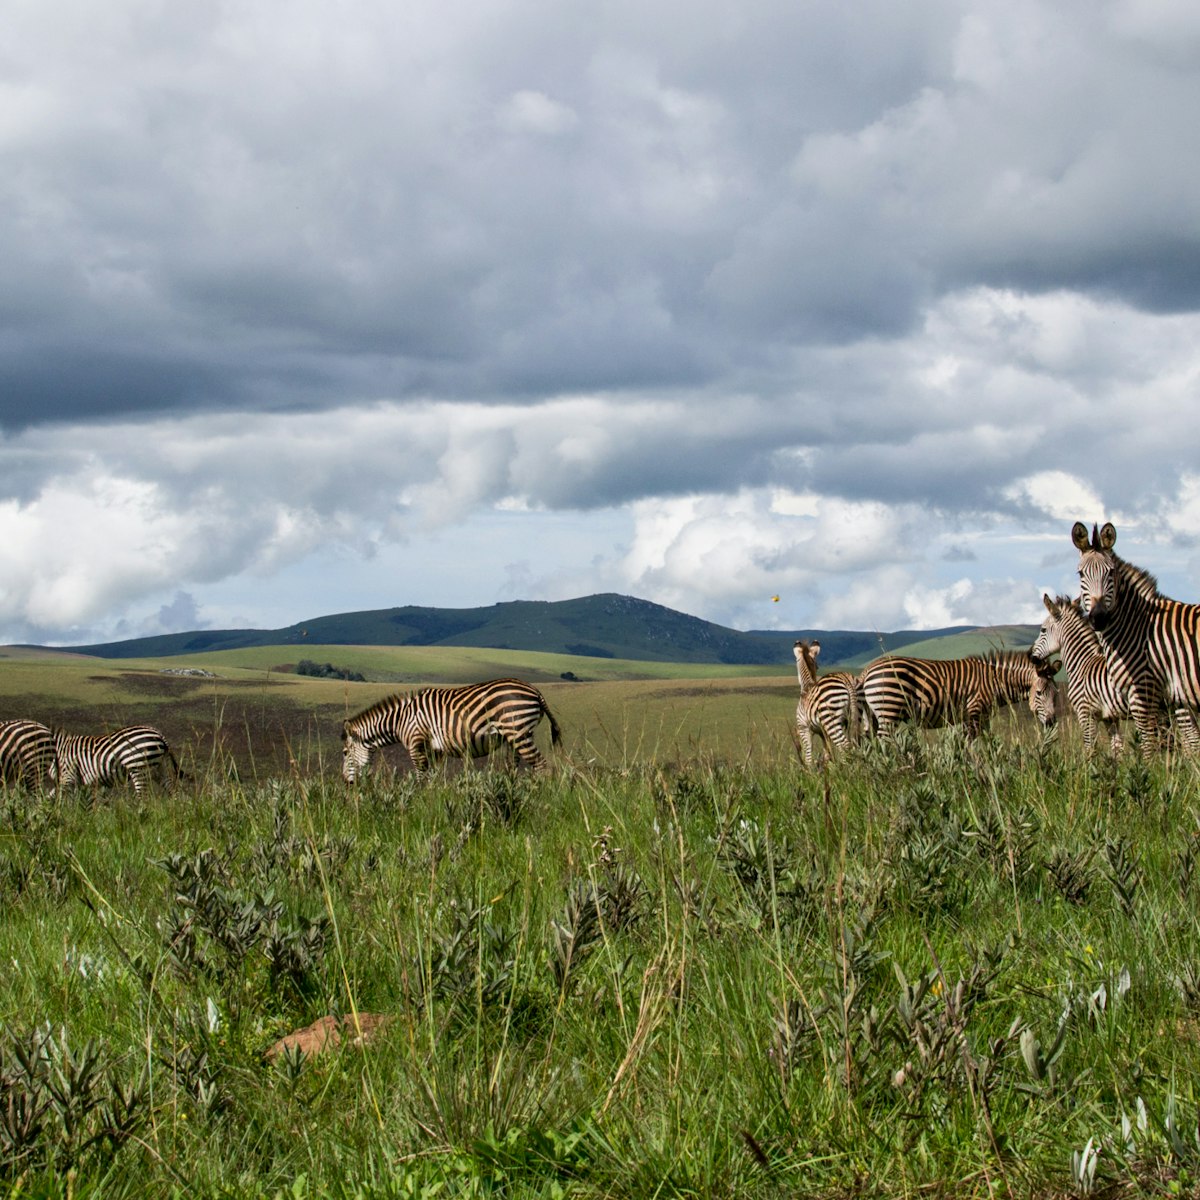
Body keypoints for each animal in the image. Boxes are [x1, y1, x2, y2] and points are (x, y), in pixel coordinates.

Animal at [52, 725, 180, 794]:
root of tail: (159, 734)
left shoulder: (68, 777)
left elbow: (58, 800)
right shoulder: (75, 782)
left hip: (139, 768)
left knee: (144, 798)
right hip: (159, 768)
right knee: (173, 791)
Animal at [341, 678, 562, 781]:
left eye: (344, 753)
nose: (346, 783)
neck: (401, 720)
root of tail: (535, 690)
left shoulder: (416, 743)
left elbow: (420, 777)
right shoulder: (435, 750)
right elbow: (433, 778)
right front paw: (435, 802)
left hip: (518, 731)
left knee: (542, 765)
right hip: (515, 736)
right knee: (515, 768)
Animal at [858, 650, 1059, 740]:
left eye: (1056, 695)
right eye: (1039, 693)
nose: (1051, 723)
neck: (994, 682)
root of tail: (867, 669)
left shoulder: (982, 717)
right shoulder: (974, 712)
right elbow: (972, 746)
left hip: (874, 715)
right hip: (889, 710)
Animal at [1033, 592, 1200, 754]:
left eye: (1043, 630)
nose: (1032, 657)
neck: (1083, 663)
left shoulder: (1085, 713)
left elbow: (1090, 751)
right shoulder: (1110, 718)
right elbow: (1116, 752)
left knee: (1192, 742)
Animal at [1072, 520, 1200, 755]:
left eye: (1110, 572)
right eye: (1081, 574)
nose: (1099, 618)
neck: (1137, 627)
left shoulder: (1143, 691)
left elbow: (1148, 747)